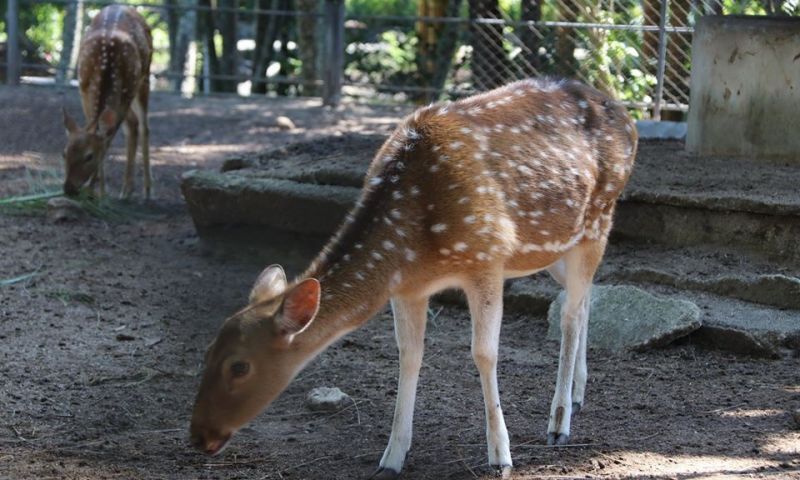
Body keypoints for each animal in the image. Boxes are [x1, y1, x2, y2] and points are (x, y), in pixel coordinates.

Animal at [61, 5, 152, 199]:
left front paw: (95, 192)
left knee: (143, 127)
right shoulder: (83, 91)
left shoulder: (126, 93)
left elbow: (107, 141)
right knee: (133, 123)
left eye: (89, 156)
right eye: (64, 153)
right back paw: (126, 190)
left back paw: (146, 190)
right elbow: (99, 132)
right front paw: (97, 191)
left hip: (143, 79)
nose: (68, 189)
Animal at [188, 78, 636, 476]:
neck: (414, 247)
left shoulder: (487, 257)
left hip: (599, 220)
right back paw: (577, 395)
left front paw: (500, 457)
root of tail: (628, 118)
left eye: (239, 366)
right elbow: (409, 355)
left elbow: (484, 353)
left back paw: (559, 422)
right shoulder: (408, 288)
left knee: (571, 314)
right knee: (584, 297)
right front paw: (392, 457)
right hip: (552, 247)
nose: (198, 437)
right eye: (206, 352)